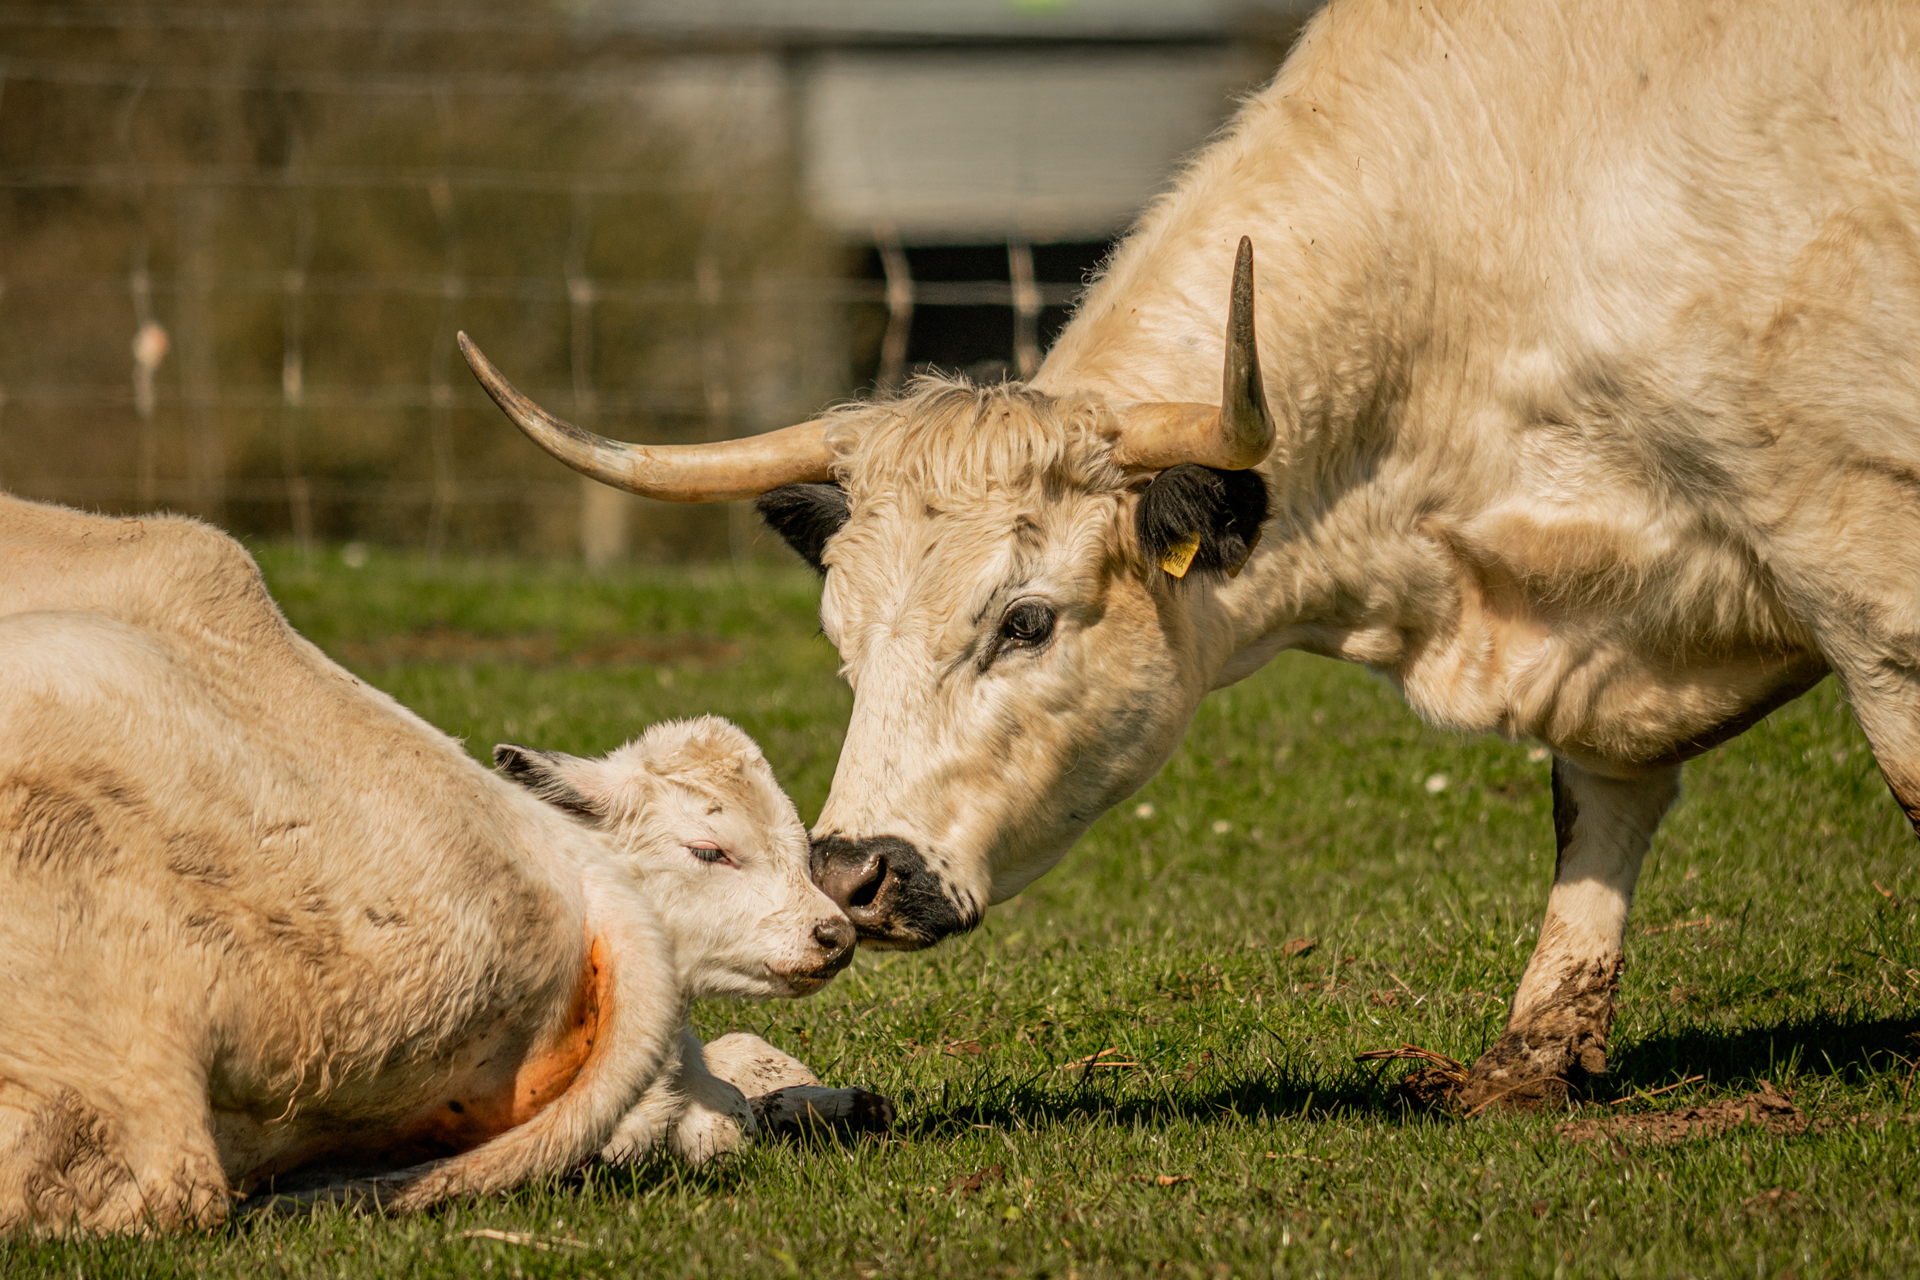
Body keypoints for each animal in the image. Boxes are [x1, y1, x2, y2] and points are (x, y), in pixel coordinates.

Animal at [459, 0, 1920, 1111]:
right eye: (840, 646)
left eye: (1028, 619)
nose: (853, 875)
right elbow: (1598, 804)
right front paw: (1534, 1055)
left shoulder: (1863, 559)